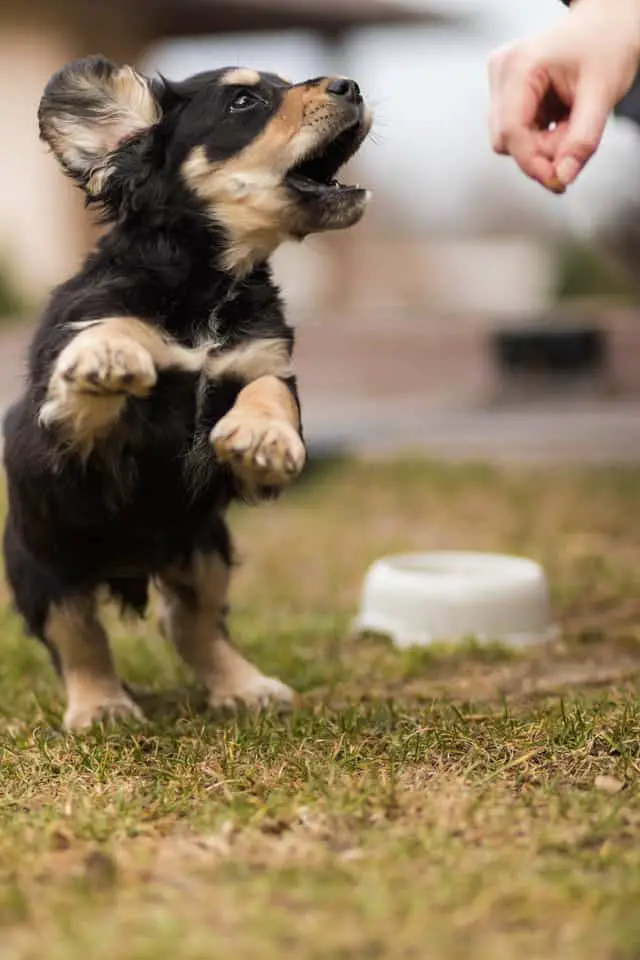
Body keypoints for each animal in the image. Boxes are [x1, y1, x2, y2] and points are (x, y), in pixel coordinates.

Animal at [1, 56, 370, 728]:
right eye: (244, 102)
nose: (350, 87)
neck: (206, 284)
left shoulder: (263, 361)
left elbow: (270, 392)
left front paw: (262, 436)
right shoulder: (70, 444)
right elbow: (108, 340)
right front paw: (107, 353)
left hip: (204, 548)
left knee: (190, 624)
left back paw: (245, 687)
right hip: (43, 565)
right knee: (79, 636)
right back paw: (102, 707)